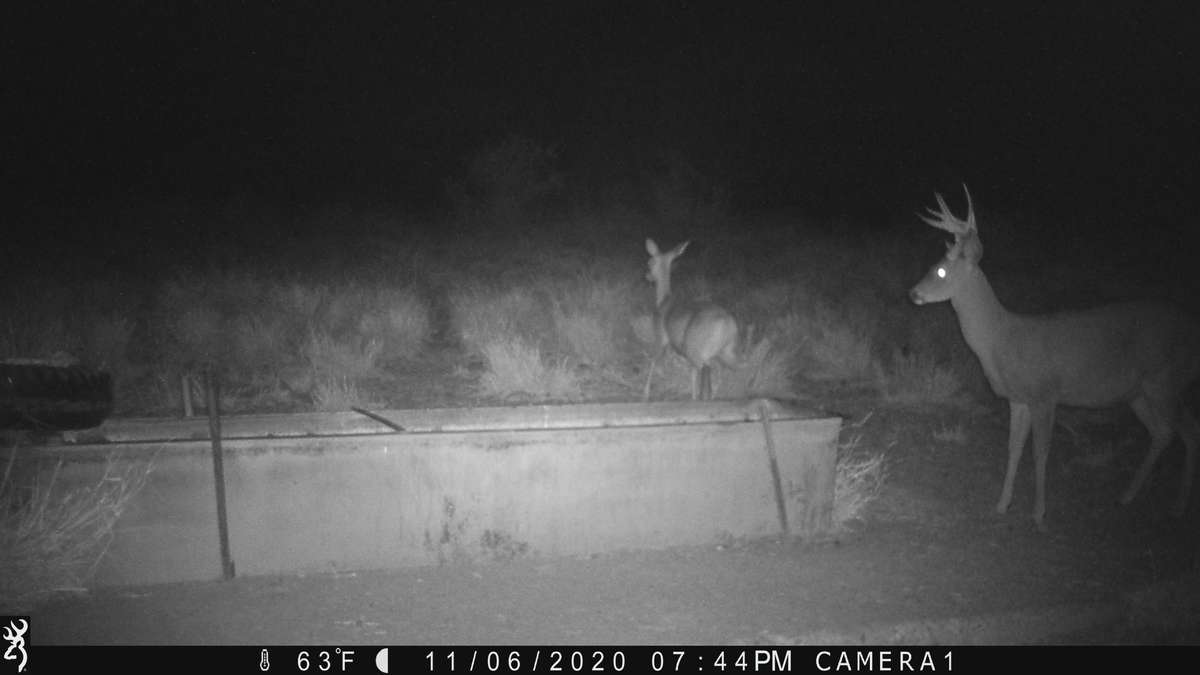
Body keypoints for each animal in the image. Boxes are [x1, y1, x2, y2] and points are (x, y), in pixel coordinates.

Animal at [643, 238, 742, 401]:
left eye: (650, 262)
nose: (647, 276)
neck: (663, 300)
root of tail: (727, 325)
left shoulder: (661, 336)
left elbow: (653, 361)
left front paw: (645, 392)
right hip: (727, 351)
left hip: (696, 352)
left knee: (699, 380)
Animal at [909, 186, 1200, 529]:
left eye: (941, 270)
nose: (913, 293)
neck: (1001, 339)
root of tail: (1193, 330)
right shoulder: (1018, 398)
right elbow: (1014, 448)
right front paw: (1002, 504)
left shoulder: (1045, 394)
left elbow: (1040, 452)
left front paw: (1038, 513)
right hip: (1139, 393)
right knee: (1163, 432)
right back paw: (1129, 496)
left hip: (1165, 381)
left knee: (1186, 431)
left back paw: (1178, 506)